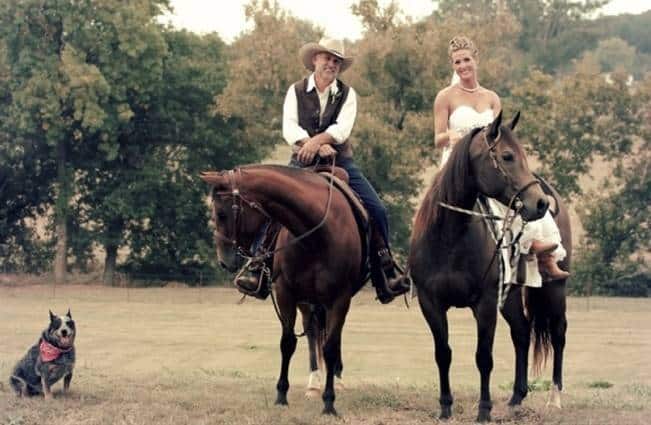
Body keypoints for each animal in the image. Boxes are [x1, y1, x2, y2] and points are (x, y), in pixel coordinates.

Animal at [201, 165, 366, 414]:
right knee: (312, 332)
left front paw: (329, 402)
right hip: (307, 302)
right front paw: (281, 396)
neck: (315, 236)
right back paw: (313, 384)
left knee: (330, 337)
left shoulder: (339, 298)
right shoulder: (287, 294)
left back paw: (335, 380)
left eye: (221, 214)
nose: (223, 261)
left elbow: (329, 347)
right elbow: (288, 343)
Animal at [412, 112, 572, 420]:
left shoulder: (484, 304)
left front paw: (484, 410)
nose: (540, 203)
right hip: (509, 297)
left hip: (555, 288)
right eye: (507, 156)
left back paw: (555, 398)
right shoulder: (431, 304)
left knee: (558, 333)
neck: (450, 238)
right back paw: (517, 397)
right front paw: (445, 407)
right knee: (522, 333)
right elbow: (443, 354)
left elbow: (484, 357)